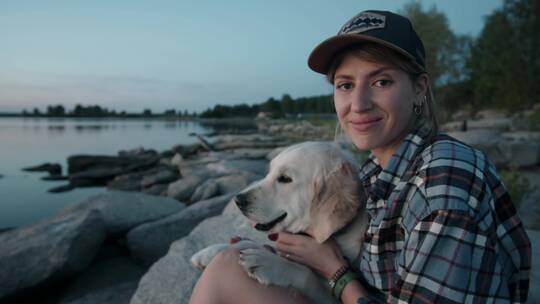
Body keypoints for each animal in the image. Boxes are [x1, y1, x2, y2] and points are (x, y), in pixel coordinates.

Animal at [190, 142, 368, 304]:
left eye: (285, 179)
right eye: (269, 171)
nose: (237, 200)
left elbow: (305, 273)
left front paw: (268, 263)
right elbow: (254, 244)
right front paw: (211, 252)